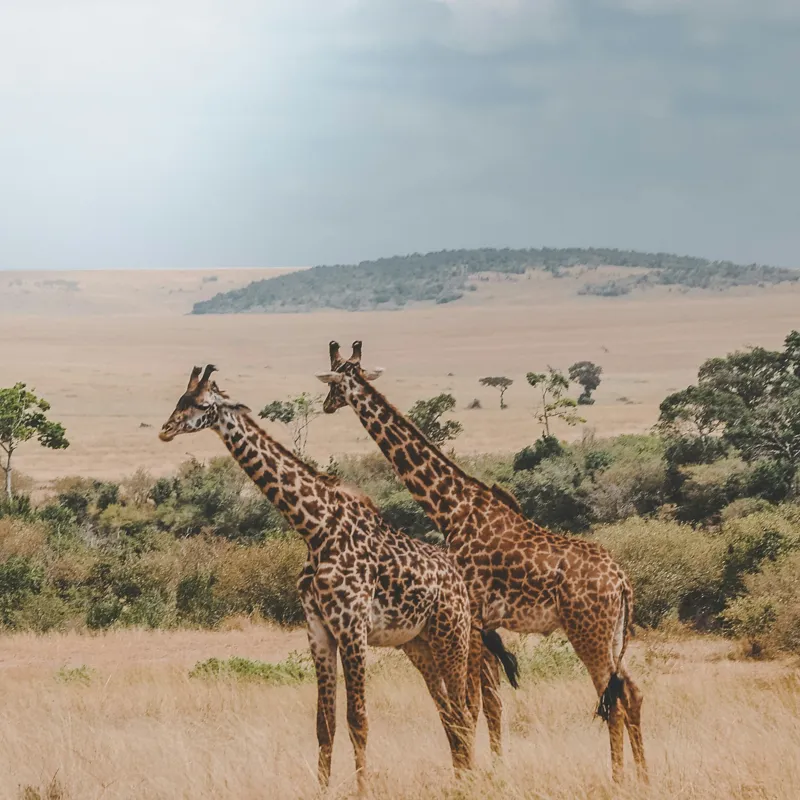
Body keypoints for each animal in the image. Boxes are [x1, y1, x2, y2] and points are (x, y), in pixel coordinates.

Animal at [158, 365, 486, 793]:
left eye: (200, 403)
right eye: (179, 399)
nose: (165, 430)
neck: (315, 528)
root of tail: (461, 584)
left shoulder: (352, 627)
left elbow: (358, 720)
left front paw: (363, 791)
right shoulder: (318, 629)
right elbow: (324, 724)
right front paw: (322, 789)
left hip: (452, 635)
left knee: (464, 712)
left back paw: (468, 783)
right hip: (419, 644)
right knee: (449, 713)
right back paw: (460, 781)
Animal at [316, 342, 648, 784]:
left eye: (335, 381)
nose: (325, 406)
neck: (451, 507)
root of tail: (623, 584)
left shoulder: (471, 616)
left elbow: (471, 705)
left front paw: (473, 773)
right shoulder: (485, 624)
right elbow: (489, 702)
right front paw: (493, 769)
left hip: (588, 632)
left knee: (610, 699)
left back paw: (617, 777)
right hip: (611, 635)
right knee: (631, 691)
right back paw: (643, 775)